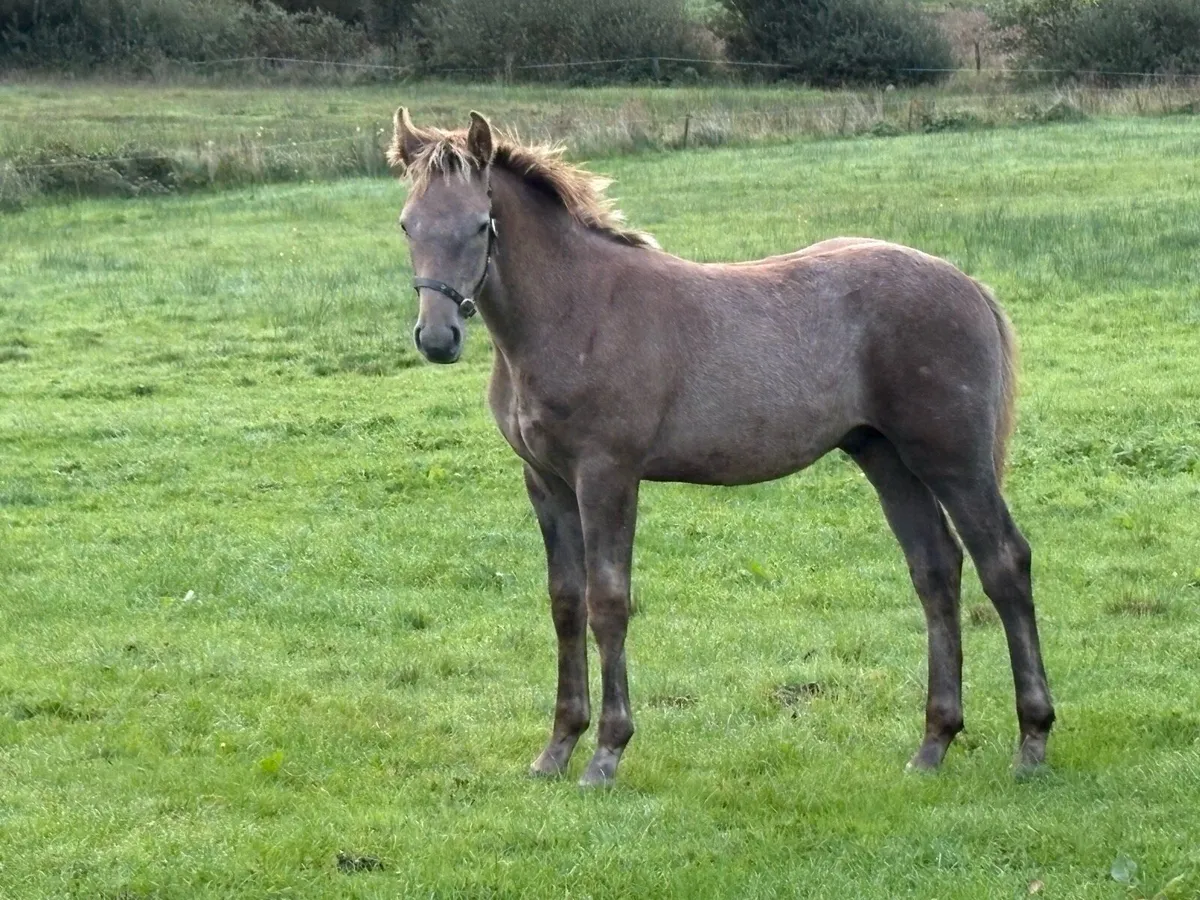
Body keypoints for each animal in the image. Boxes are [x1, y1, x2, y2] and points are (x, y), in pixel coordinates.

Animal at [388, 108, 1054, 788]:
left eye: (480, 224)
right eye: (407, 224)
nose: (437, 338)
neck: (577, 311)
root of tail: (967, 283)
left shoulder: (607, 475)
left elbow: (608, 601)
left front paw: (606, 753)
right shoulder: (545, 482)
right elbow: (566, 603)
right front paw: (557, 748)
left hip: (953, 459)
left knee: (1004, 562)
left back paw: (1032, 740)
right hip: (886, 458)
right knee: (935, 570)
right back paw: (934, 743)